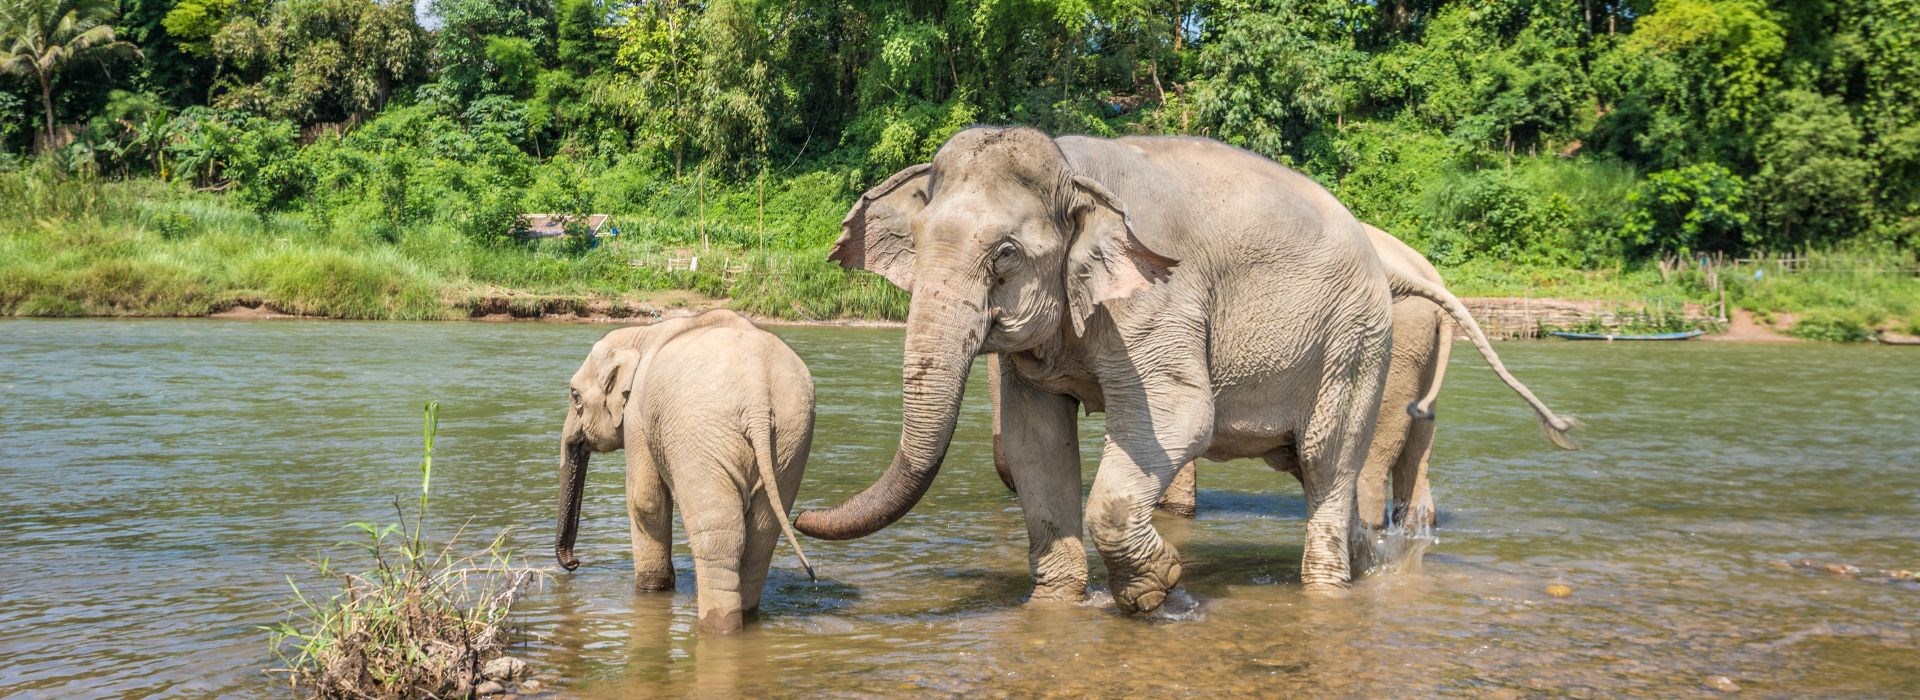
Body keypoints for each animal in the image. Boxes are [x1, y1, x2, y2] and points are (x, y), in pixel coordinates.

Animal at [552, 308, 814, 629]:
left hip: (701, 434)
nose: (574, 563)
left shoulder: (637, 414)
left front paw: (651, 588)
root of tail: (756, 395)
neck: (640, 335)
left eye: (575, 395)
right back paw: (746, 616)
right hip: (791, 438)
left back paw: (717, 626)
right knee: (761, 535)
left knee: (719, 534)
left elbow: (644, 500)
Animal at [791, 126, 1466, 609]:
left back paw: (1328, 588)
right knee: (1314, 467)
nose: (800, 515)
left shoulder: (1157, 295)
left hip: (1355, 341)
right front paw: (1057, 604)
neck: (1072, 168)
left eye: (1004, 254)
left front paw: (1155, 589)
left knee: (1329, 459)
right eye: (921, 240)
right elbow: (1035, 439)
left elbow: (1180, 413)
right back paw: (1369, 565)